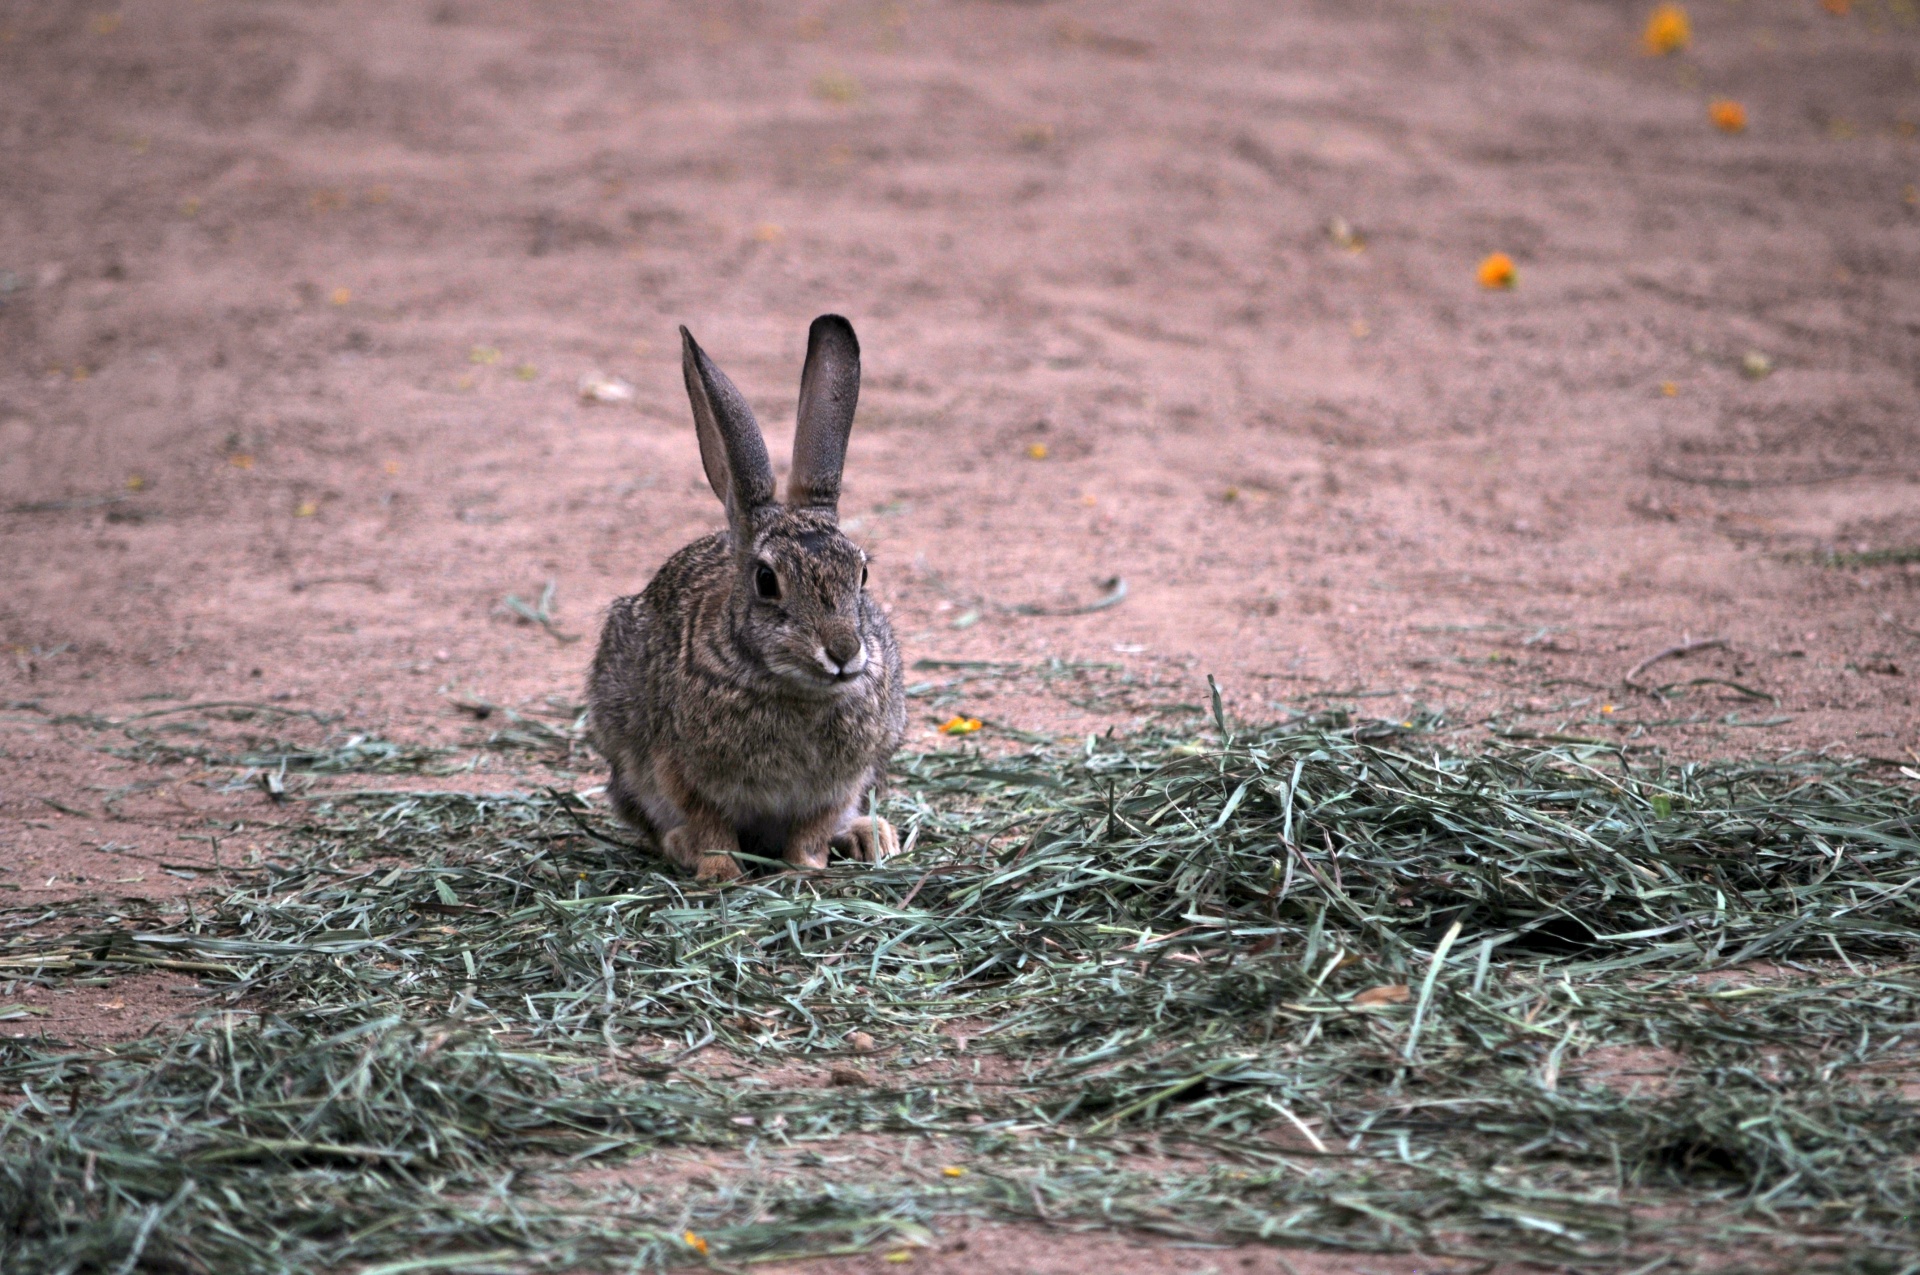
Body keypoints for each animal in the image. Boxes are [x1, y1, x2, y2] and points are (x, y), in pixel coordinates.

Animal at [583, 312, 906, 883]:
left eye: (862, 573)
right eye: (766, 581)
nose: (843, 654)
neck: (794, 687)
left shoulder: (839, 783)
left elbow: (812, 830)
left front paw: (805, 870)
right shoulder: (682, 770)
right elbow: (711, 825)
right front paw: (720, 873)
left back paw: (871, 835)